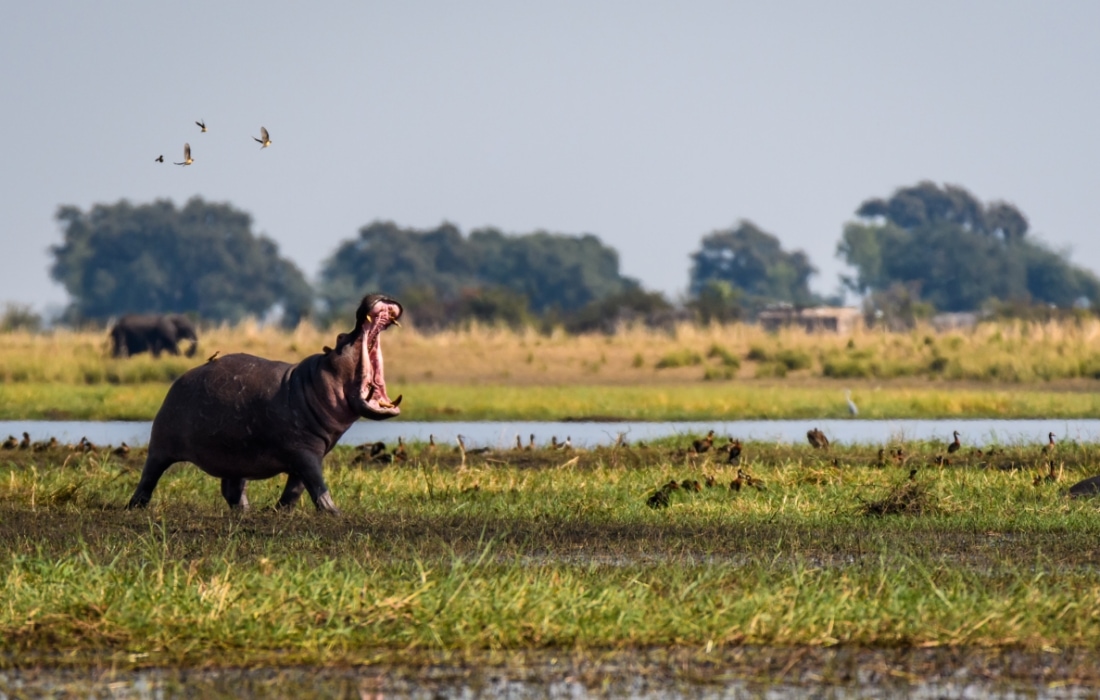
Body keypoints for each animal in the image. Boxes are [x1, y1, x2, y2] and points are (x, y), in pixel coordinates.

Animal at [126, 293, 403, 513]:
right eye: (341, 336)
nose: (371, 296)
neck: (316, 381)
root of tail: (179, 379)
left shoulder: (311, 451)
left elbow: (297, 487)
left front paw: (280, 511)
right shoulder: (304, 452)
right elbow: (316, 483)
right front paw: (334, 512)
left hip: (234, 455)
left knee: (233, 488)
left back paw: (245, 511)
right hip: (161, 445)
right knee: (149, 475)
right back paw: (135, 506)